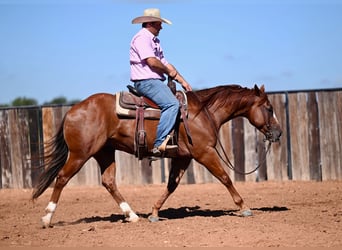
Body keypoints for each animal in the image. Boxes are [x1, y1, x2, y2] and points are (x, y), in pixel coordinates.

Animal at [32, 83, 282, 227]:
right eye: (269, 108)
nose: (278, 132)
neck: (204, 113)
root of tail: (72, 111)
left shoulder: (183, 157)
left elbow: (172, 185)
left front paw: (153, 212)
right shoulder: (204, 153)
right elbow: (225, 178)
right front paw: (244, 207)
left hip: (104, 152)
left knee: (109, 181)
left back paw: (132, 215)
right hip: (80, 154)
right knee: (62, 178)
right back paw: (47, 218)